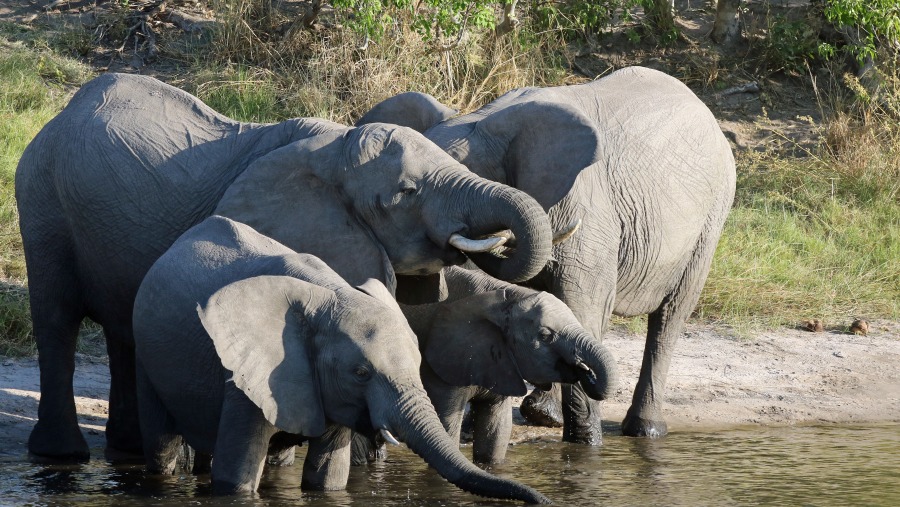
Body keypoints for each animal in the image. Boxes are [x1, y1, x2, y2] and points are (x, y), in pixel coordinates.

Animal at [15, 74, 556, 460]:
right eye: (406, 194)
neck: (336, 146)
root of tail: (62, 112)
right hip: (42, 200)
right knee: (57, 320)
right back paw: (63, 456)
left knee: (123, 333)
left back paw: (125, 449)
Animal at [129, 215, 544, 504]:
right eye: (360, 373)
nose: (540, 499)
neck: (328, 296)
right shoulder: (249, 377)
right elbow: (236, 482)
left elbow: (328, 478)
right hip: (144, 354)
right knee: (161, 445)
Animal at [358, 66, 740, 440]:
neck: (485, 120)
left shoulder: (588, 208)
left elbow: (583, 302)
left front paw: (583, 441)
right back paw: (544, 415)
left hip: (713, 214)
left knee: (670, 315)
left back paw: (643, 429)